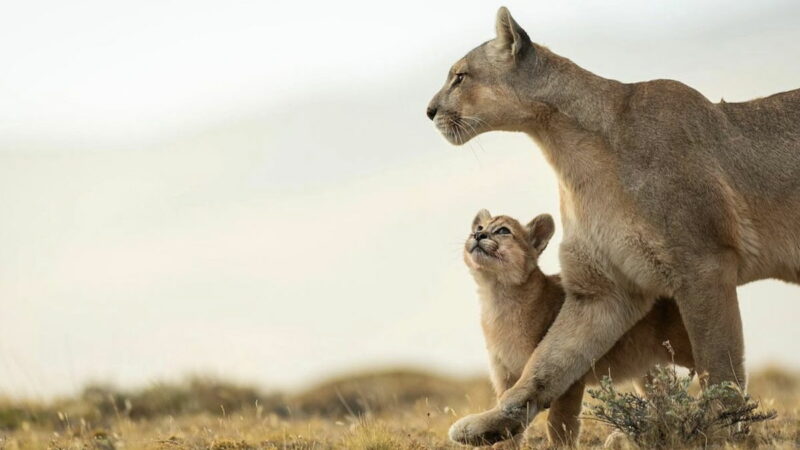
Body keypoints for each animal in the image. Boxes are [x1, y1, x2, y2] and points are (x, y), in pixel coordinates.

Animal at [428, 7, 800, 446]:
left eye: (460, 76)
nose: (429, 111)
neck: (568, 149)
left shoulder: (703, 266)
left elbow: (719, 363)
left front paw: (720, 431)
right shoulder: (604, 289)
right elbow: (547, 365)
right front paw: (489, 425)